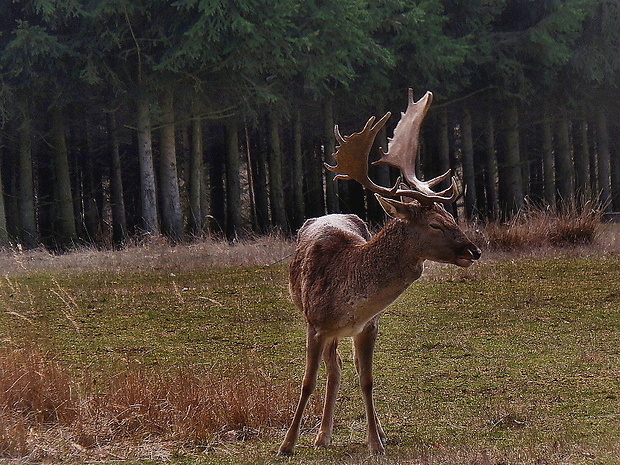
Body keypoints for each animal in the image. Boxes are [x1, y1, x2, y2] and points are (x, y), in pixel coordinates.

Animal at [278, 89, 482, 454]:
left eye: (451, 217)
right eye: (435, 224)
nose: (473, 251)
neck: (349, 296)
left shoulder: (368, 325)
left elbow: (367, 379)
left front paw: (377, 441)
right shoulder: (315, 324)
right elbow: (306, 382)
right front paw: (287, 444)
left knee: (341, 368)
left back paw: (331, 433)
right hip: (318, 324)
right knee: (332, 369)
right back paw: (321, 435)